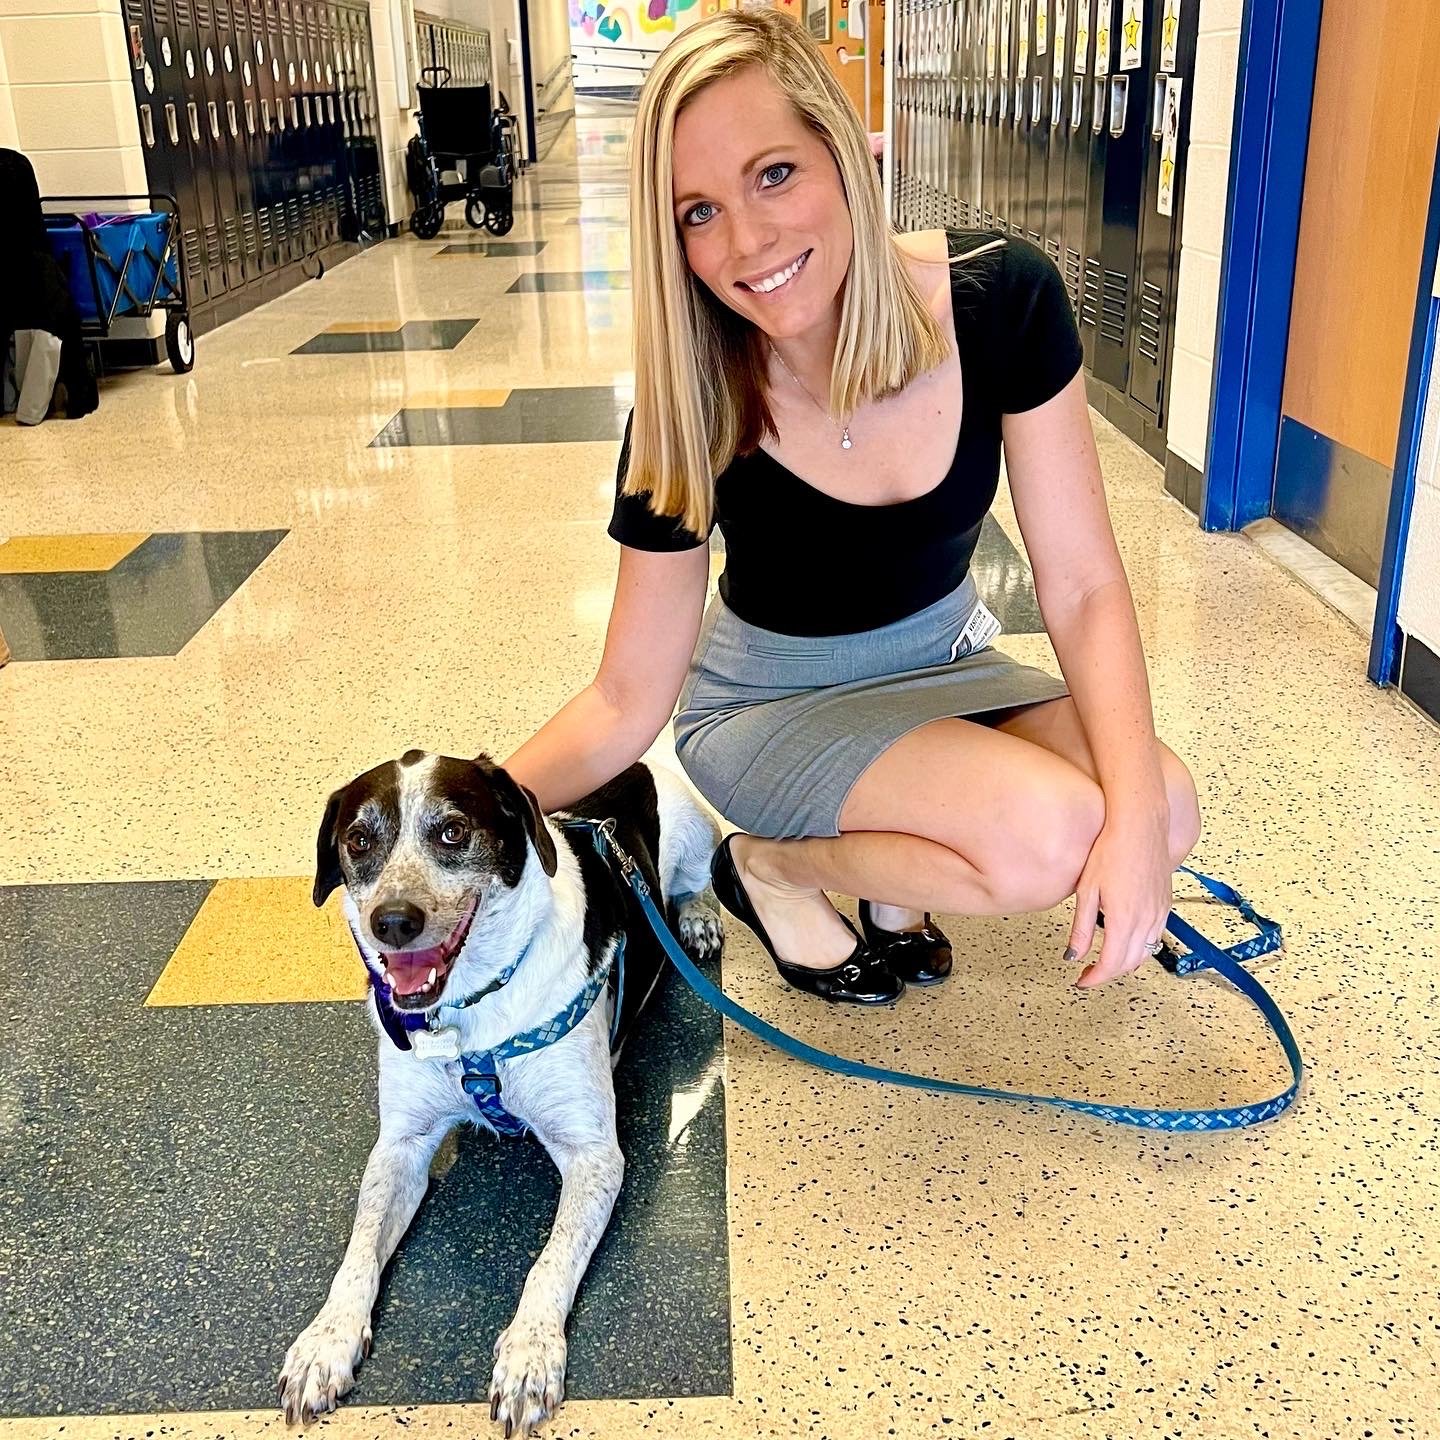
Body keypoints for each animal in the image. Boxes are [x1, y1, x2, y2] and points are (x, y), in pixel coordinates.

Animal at [282, 754, 725, 1428]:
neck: (469, 1016)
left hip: (697, 835)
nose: (392, 922)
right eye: (357, 840)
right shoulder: (400, 1145)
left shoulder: (594, 1154)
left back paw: (699, 917)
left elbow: (550, 1263)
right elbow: (358, 1253)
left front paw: (530, 1354)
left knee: (695, 884)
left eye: (452, 832)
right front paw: (324, 1341)